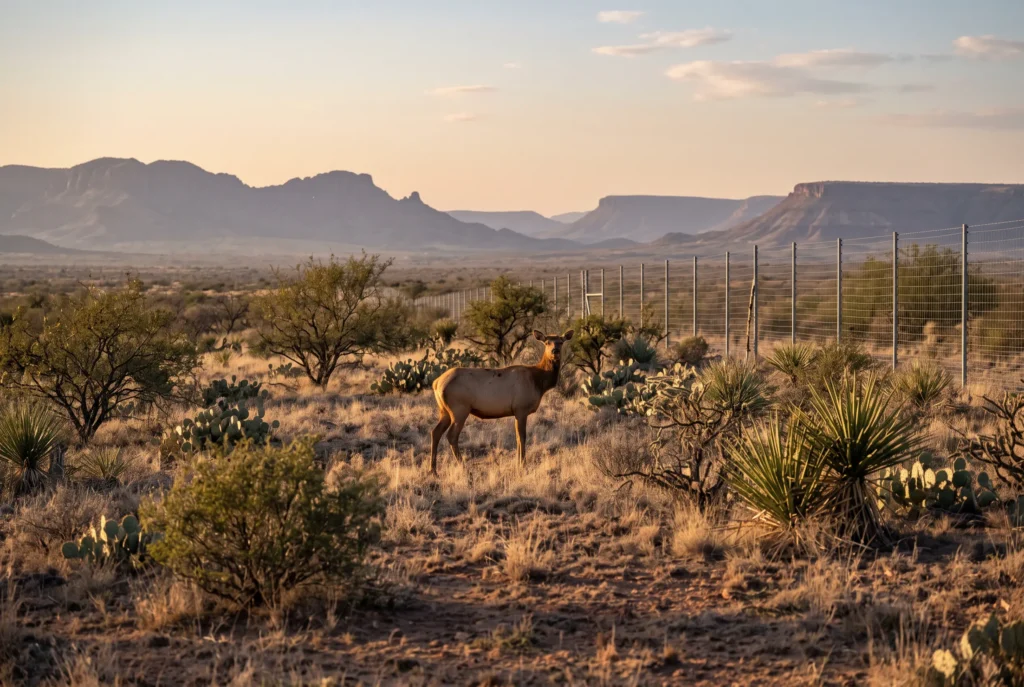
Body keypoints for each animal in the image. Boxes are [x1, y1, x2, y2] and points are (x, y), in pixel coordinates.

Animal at [428, 329, 573, 475]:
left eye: (561, 342)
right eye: (547, 342)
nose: (555, 351)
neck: (539, 381)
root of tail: (436, 383)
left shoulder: (516, 411)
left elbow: (517, 438)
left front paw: (518, 463)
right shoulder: (521, 408)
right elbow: (522, 437)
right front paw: (523, 465)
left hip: (444, 410)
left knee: (435, 432)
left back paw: (433, 470)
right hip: (459, 409)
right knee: (451, 435)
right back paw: (464, 468)